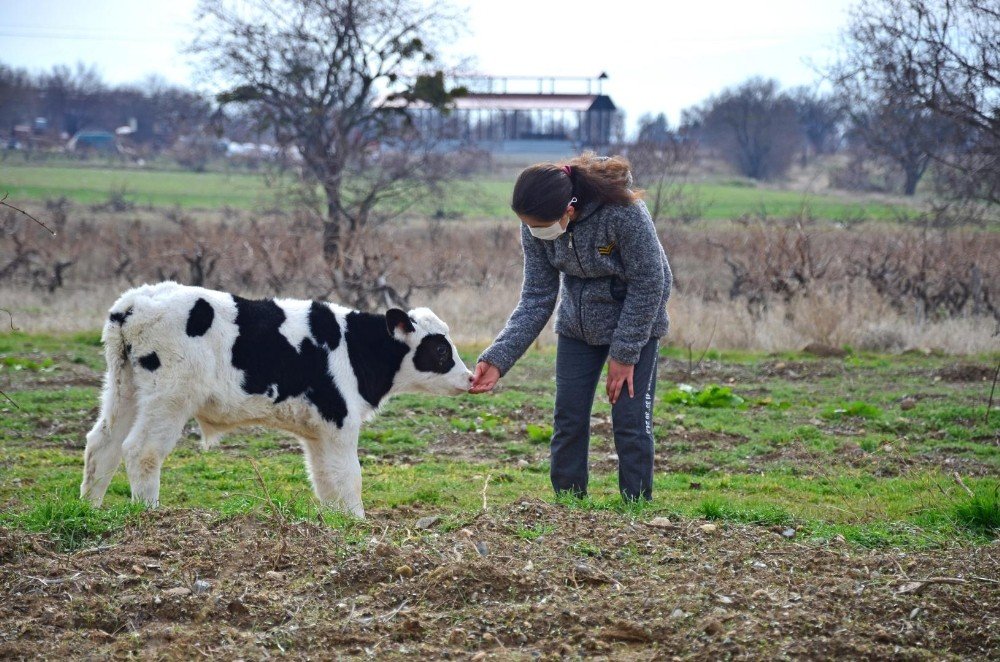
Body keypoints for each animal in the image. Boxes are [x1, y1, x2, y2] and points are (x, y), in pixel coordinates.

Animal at [80, 280, 470, 520]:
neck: (354, 346)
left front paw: (338, 522)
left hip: (124, 389)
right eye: (440, 349)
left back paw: (90, 509)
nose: (469, 378)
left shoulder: (318, 431)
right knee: (141, 450)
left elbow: (325, 478)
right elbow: (350, 475)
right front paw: (360, 523)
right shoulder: (340, 422)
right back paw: (149, 513)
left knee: (102, 444)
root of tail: (135, 302)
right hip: (169, 397)